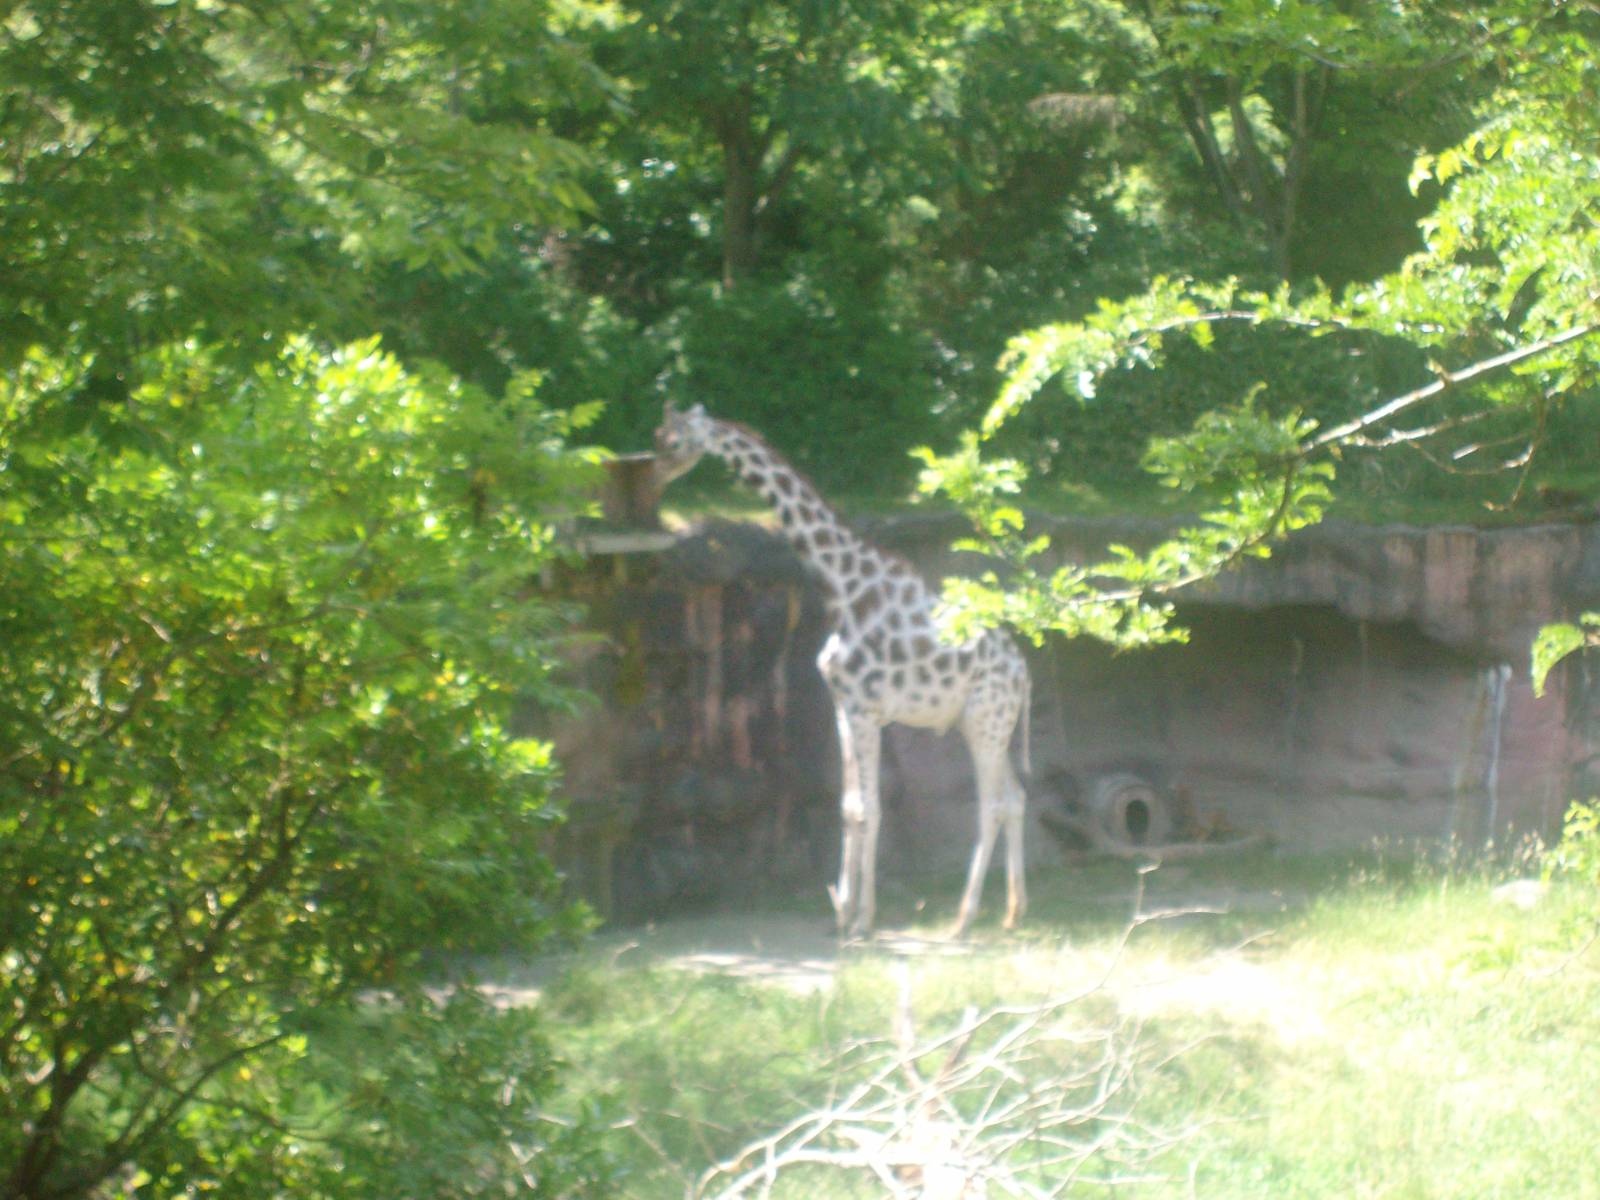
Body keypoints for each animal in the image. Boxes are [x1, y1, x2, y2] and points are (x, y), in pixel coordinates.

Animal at [653, 402, 1032, 938]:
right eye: (659, 434)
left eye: (673, 441)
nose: (654, 473)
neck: (842, 589)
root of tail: (1023, 670)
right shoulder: (844, 705)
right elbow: (849, 806)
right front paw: (844, 913)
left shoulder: (866, 708)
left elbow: (871, 808)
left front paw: (862, 920)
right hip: (984, 723)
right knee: (1015, 798)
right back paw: (1013, 912)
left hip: (985, 722)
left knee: (992, 806)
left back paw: (963, 919)